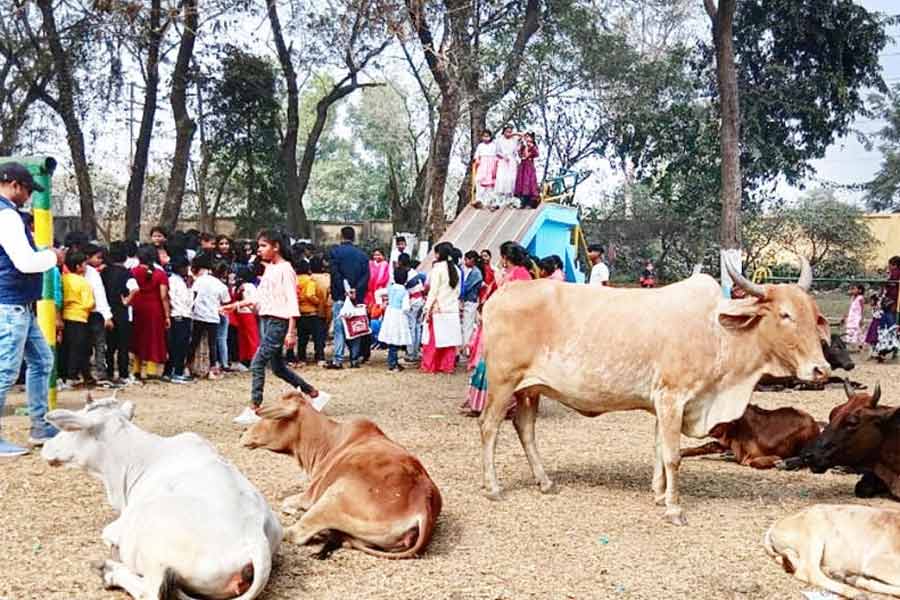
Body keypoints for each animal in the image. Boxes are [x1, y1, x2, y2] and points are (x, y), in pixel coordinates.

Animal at [41, 394, 282, 600]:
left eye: (71, 429)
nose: (46, 446)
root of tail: (255, 535)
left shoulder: (120, 526)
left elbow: (107, 534)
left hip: (152, 552)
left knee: (150, 592)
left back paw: (110, 571)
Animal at [241, 392, 442, 560]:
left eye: (268, 418)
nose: (243, 434)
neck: (329, 441)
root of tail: (424, 501)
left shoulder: (309, 495)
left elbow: (286, 502)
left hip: (333, 495)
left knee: (296, 533)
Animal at [764, 504, 900, 596]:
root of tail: (776, 524)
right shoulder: (877, 561)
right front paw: (858, 581)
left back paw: (836, 574)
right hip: (813, 534)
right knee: (808, 571)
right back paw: (855, 592)